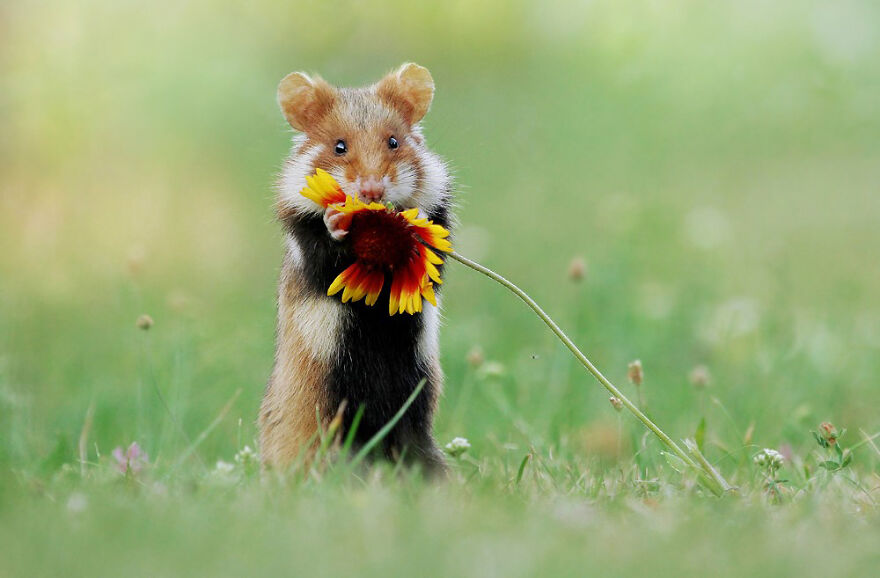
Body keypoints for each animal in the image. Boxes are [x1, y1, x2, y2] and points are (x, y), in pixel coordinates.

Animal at [259, 63, 453, 476]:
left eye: (394, 142)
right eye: (339, 146)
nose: (372, 191)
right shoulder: (307, 244)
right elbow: (324, 254)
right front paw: (336, 220)